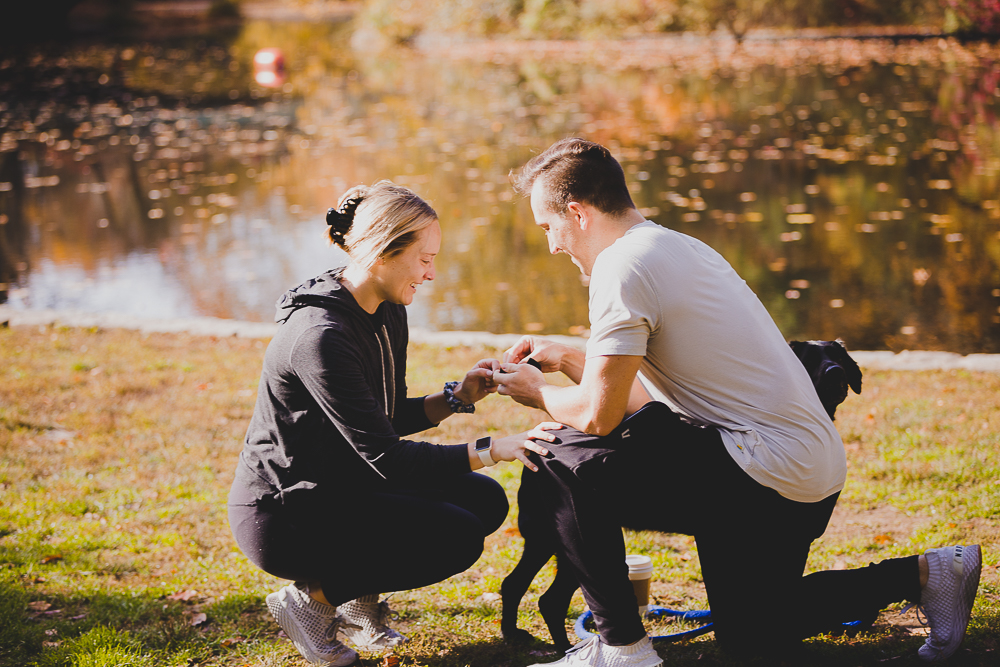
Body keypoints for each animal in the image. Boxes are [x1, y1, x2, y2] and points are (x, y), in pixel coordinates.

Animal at [504, 342, 864, 648]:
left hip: (553, 543)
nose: (836, 372)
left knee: (526, 590)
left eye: (838, 357)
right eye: (809, 360)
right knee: (540, 596)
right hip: (555, 538)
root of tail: (533, 447)